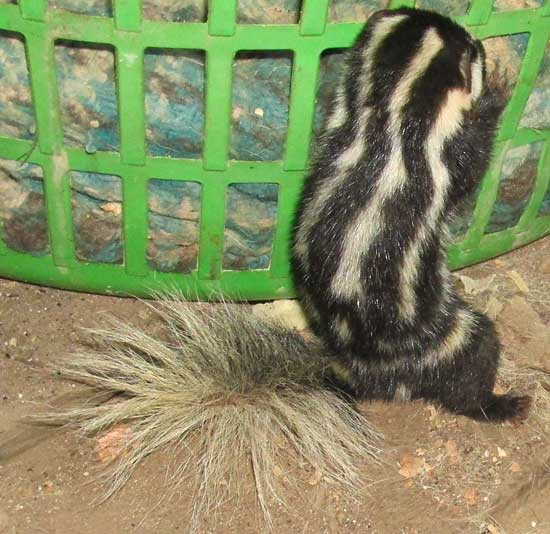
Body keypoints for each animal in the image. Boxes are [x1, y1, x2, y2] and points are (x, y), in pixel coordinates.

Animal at [296, 5, 532, 422]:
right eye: (471, 50)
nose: (478, 41)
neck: (387, 116)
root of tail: (367, 370)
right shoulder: (437, 159)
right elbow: (471, 165)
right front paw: (497, 94)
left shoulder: (339, 128)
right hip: (440, 338)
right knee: (472, 358)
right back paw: (498, 405)